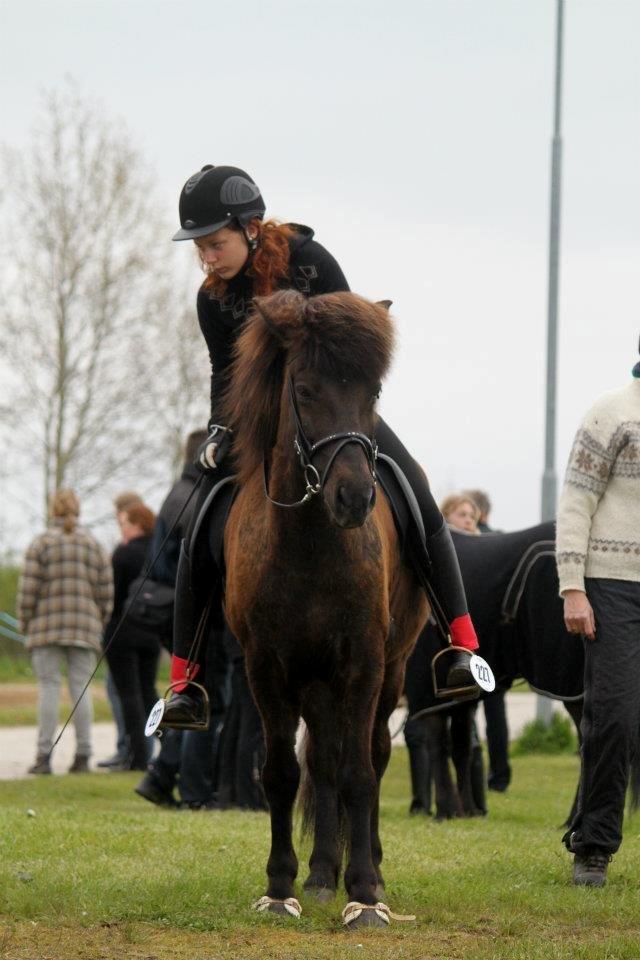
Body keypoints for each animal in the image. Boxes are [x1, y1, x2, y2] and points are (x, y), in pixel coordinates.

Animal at [222, 288, 428, 928]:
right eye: (307, 390)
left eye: (374, 392)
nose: (355, 497)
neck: (310, 543)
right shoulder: (266, 669)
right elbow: (284, 773)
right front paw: (282, 885)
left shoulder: (363, 663)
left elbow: (360, 772)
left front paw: (363, 893)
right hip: (314, 685)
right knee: (322, 761)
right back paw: (319, 874)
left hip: (391, 670)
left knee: (371, 756)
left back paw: (371, 871)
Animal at [404, 524, 584, 816]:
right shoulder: (459, 696)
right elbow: (461, 747)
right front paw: (467, 811)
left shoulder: (426, 689)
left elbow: (438, 744)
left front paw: (447, 810)